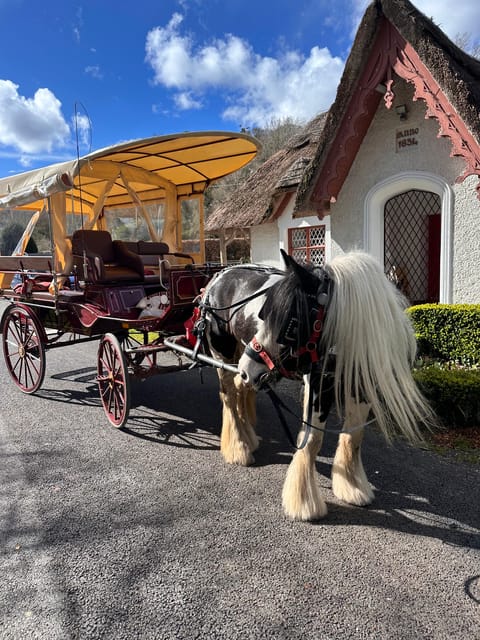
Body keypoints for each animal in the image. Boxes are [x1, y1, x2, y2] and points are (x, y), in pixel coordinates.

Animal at [197, 250, 434, 520]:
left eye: (292, 324)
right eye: (264, 315)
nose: (249, 367)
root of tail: (220, 276)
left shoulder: (362, 387)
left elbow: (354, 436)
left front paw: (352, 487)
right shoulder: (318, 384)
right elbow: (312, 440)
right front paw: (303, 502)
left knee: (240, 389)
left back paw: (248, 435)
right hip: (223, 355)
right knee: (229, 395)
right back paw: (238, 448)